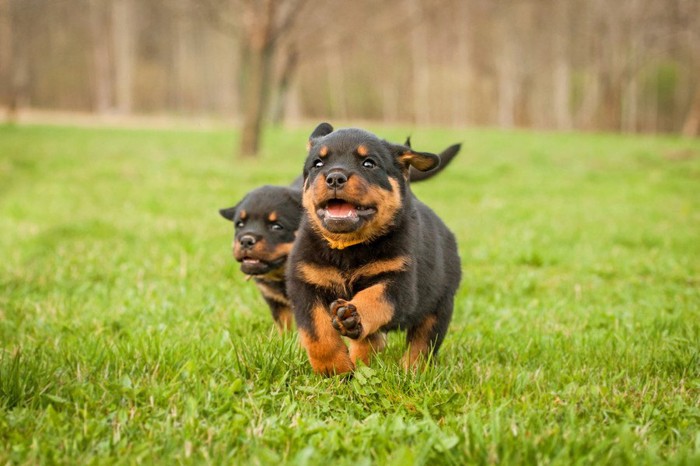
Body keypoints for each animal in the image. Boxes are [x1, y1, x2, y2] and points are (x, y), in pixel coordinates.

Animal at [288, 123, 462, 374]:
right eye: (318, 164)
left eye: (368, 163)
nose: (334, 177)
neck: (348, 247)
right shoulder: (305, 283)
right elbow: (318, 334)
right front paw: (335, 371)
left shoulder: (399, 284)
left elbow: (375, 298)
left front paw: (353, 315)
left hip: (440, 304)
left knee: (422, 343)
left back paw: (411, 371)